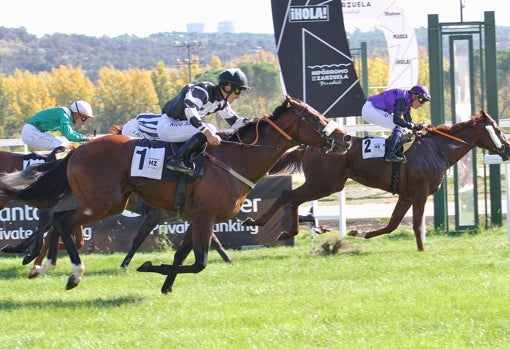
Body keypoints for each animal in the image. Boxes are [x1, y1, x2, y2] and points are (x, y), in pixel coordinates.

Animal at [0, 95, 350, 290]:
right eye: (315, 118)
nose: (346, 139)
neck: (233, 158)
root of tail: (76, 151)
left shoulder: (194, 216)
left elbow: (184, 256)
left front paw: (165, 284)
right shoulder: (204, 215)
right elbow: (199, 262)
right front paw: (144, 267)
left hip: (101, 201)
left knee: (57, 218)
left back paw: (40, 264)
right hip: (104, 202)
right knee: (60, 221)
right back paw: (67, 271)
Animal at [242, 109, 510, 250]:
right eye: (497, 129)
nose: (507, 149)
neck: (438, 149)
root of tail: (310, 146)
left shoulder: (406, 195)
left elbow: (392, 224)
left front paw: (359, 233)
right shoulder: (420, 192)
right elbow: (416, 224)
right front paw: (422, 250)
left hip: (324, 184)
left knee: (294, 199)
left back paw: (288, 232)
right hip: (324, 184)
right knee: (287, 195)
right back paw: (257, 222)